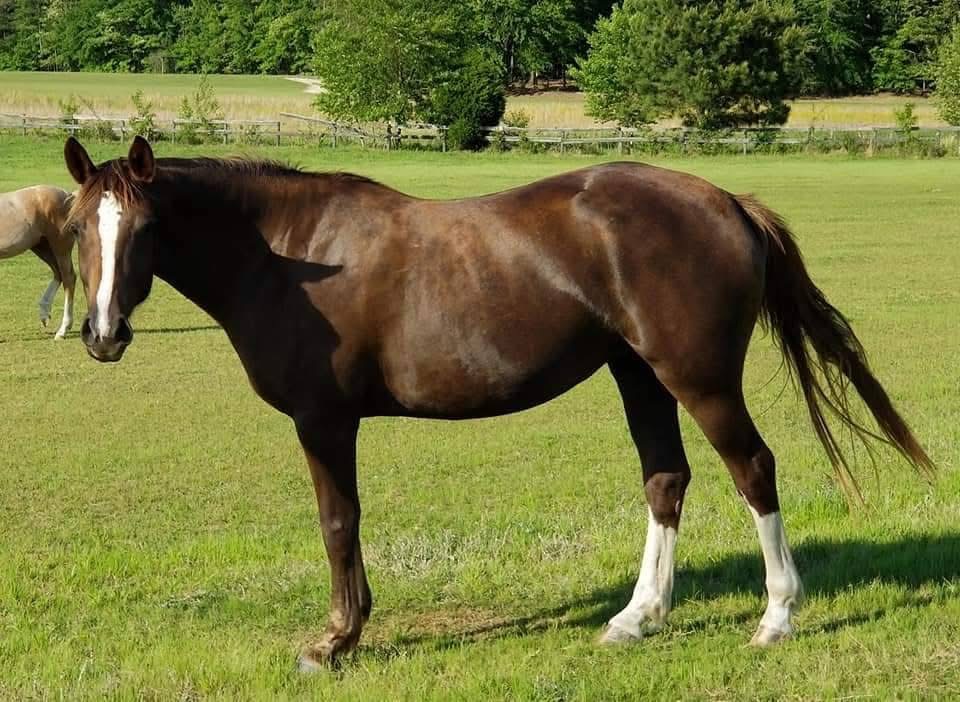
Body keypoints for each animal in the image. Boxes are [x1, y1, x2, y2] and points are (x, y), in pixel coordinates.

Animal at [0, 185, 77, 339]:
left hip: (60, 246)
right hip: (42, 247)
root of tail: (67, 195)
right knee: (58, 274)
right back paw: (45, 313)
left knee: (68, 278)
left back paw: (62, 330)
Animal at [62, 136, 933, 669]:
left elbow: (339, 523)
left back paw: (776, 616)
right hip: (639, 375)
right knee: (666, 480)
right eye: (76, 228)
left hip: (699, 378)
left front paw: (338, 640)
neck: (291, 255)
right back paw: (637, 616)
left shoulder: (324, 420)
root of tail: (725, 200)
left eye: (145, 227)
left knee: (753, 469)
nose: (101, 334)